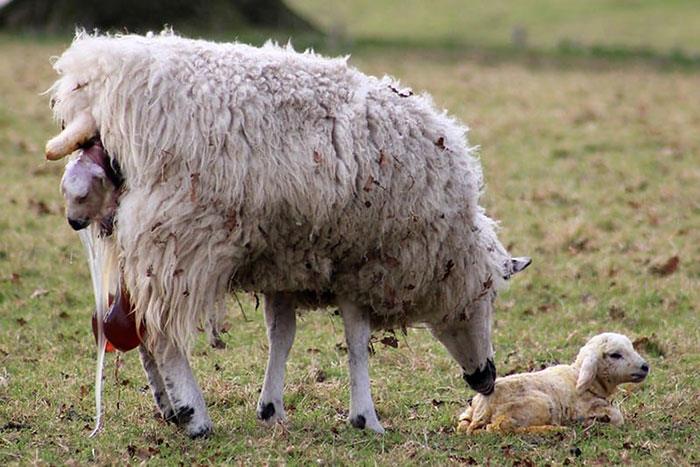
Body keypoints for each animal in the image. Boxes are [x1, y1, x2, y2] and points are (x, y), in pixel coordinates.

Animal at [46, 33, 532, 438]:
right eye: (488, 297)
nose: (486, 378)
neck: (446, 244)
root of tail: (101, 79)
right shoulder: (359, 264)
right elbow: (358, 342)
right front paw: (366, 417)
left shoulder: (284, 261)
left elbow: (282, 333)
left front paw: (271, 407)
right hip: (177, 234)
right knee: (162, 331)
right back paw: (193, 415)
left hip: (126, 230)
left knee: (135, 323)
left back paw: (168, 406)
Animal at [460, 332, 652, 436]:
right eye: (615, 355)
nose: (645, 367)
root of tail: (484, 408)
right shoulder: (582, 409)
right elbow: (618, 417)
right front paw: (590, 423)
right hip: (539, 404)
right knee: (498, 428)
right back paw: (554, 430)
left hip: (468, 413)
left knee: (464, 425)